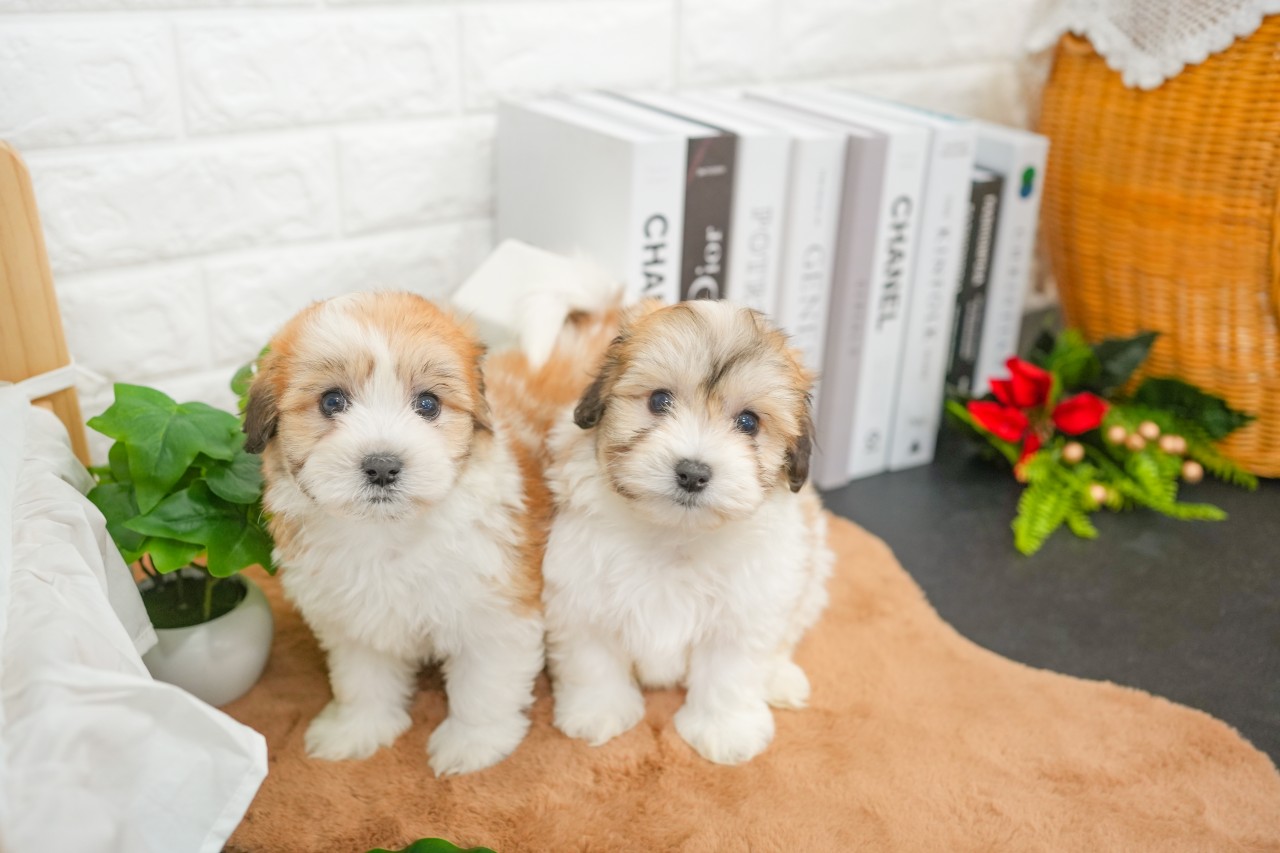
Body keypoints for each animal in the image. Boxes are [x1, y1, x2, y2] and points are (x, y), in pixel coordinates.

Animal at [243, 291, 592, 775]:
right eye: (332, 401)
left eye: (427, 404)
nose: (382, 466)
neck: (389, 535)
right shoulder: (353, 617)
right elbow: (362, 678)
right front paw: (358, 728)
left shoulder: (494, 610)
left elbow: (484, 685)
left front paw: (473, 742)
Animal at [542, 299, 834, 765]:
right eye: (659, 401)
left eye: (748, 423)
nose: (693, 473)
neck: (674, 535)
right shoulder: (579, 597)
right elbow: (593, 660)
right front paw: (598, 711)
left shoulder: (744, 612)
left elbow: (730, 674)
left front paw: (726, 730)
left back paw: (780, 678)